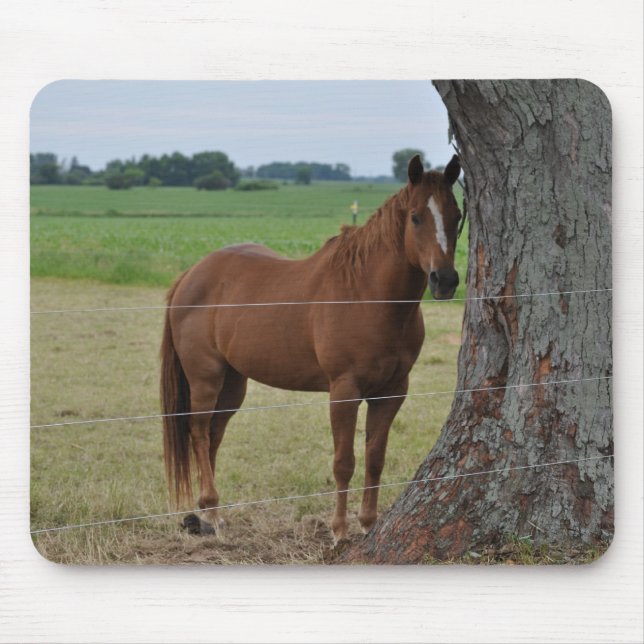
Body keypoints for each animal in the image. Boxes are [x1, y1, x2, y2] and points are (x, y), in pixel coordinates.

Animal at [160, 154, 462, 544]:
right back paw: (211, 511)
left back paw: (207, 514)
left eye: (457, 216)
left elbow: (375, 458)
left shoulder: (392, 392)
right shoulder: (344, 391)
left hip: (233, 383)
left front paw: (368, 524)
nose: (445, 280)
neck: (368, 294)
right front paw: (339, 531)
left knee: (213, 435)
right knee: (198, 432)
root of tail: (191, 274)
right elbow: (344, 462)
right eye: (416, 217)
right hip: (205, 377)